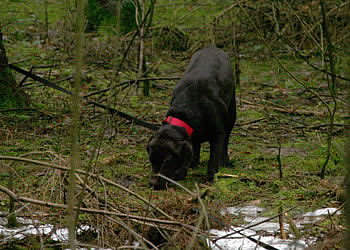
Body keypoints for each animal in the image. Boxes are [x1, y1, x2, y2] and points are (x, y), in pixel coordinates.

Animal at [146, 46, 237, 189]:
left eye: (167, 161)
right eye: (151, 160)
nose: (152, 184)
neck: (187, 109)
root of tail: (212, 47)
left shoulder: (218, 134)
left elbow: (214, 157)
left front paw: (210, 177)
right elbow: (194, 148)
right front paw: (192, 165)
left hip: (232, 111)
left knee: (226, 140)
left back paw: (225, 161)